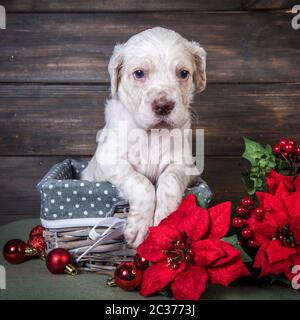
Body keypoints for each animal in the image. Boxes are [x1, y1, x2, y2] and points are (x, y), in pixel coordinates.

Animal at [81, 26, 206, 248]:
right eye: (139, 73)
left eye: (183, 73)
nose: (163, 105)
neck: (152, 134)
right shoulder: (110, 160)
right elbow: (141, 183)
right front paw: (138, 228)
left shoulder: (185, 164)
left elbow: (169, 182)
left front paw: (165, 220)